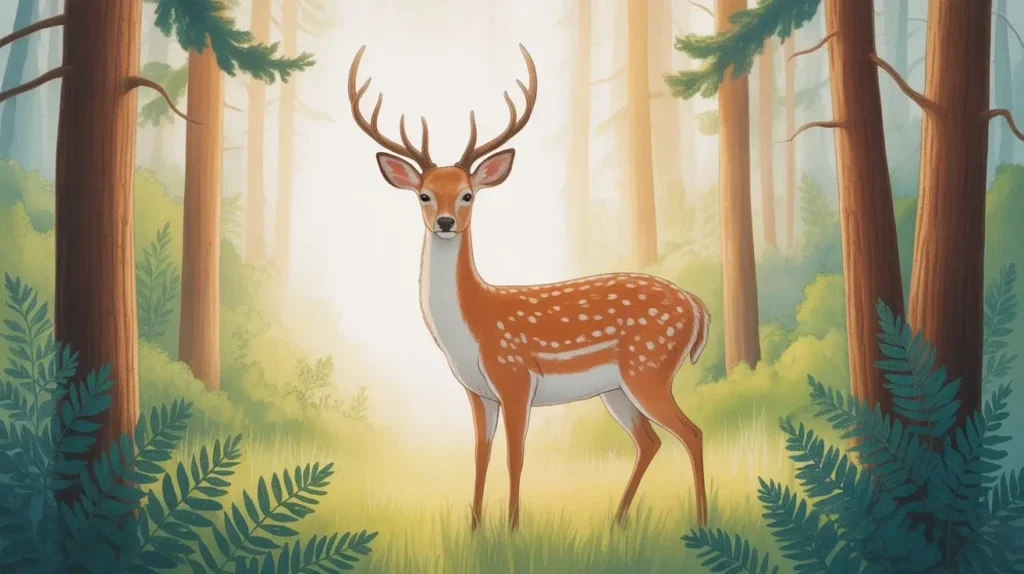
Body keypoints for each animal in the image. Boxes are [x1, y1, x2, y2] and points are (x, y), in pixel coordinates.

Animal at [347, 44, 710, 531]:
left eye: (468, 194)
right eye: (424, 194)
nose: (445, 222)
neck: (470, 328)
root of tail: (695, 305)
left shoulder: (514, 376)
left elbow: (515, 457)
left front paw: (513, 529)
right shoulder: (477, 392)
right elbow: (480, 456)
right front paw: (475, 528)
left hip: (648, 367)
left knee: (692, 432)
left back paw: (702, 523)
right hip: (617, 388)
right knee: (649, 441)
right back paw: (616, 522)